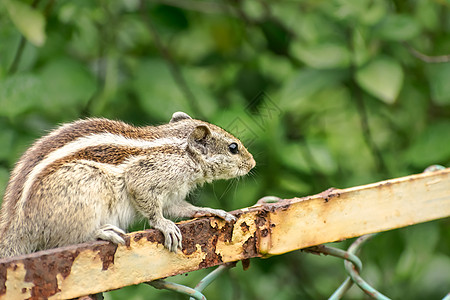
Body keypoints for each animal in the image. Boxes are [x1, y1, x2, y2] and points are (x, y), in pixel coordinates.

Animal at [0, 111, 255, 256]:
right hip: (86, 189)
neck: (181, 151)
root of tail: (16, 227)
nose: (252, 163)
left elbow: (182, 208)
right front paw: (164, 225)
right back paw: (103, 231)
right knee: (63, 240)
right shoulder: (146, 177)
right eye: (233, 147)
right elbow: (151, 206)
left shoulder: (171, 195)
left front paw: (211, 211)